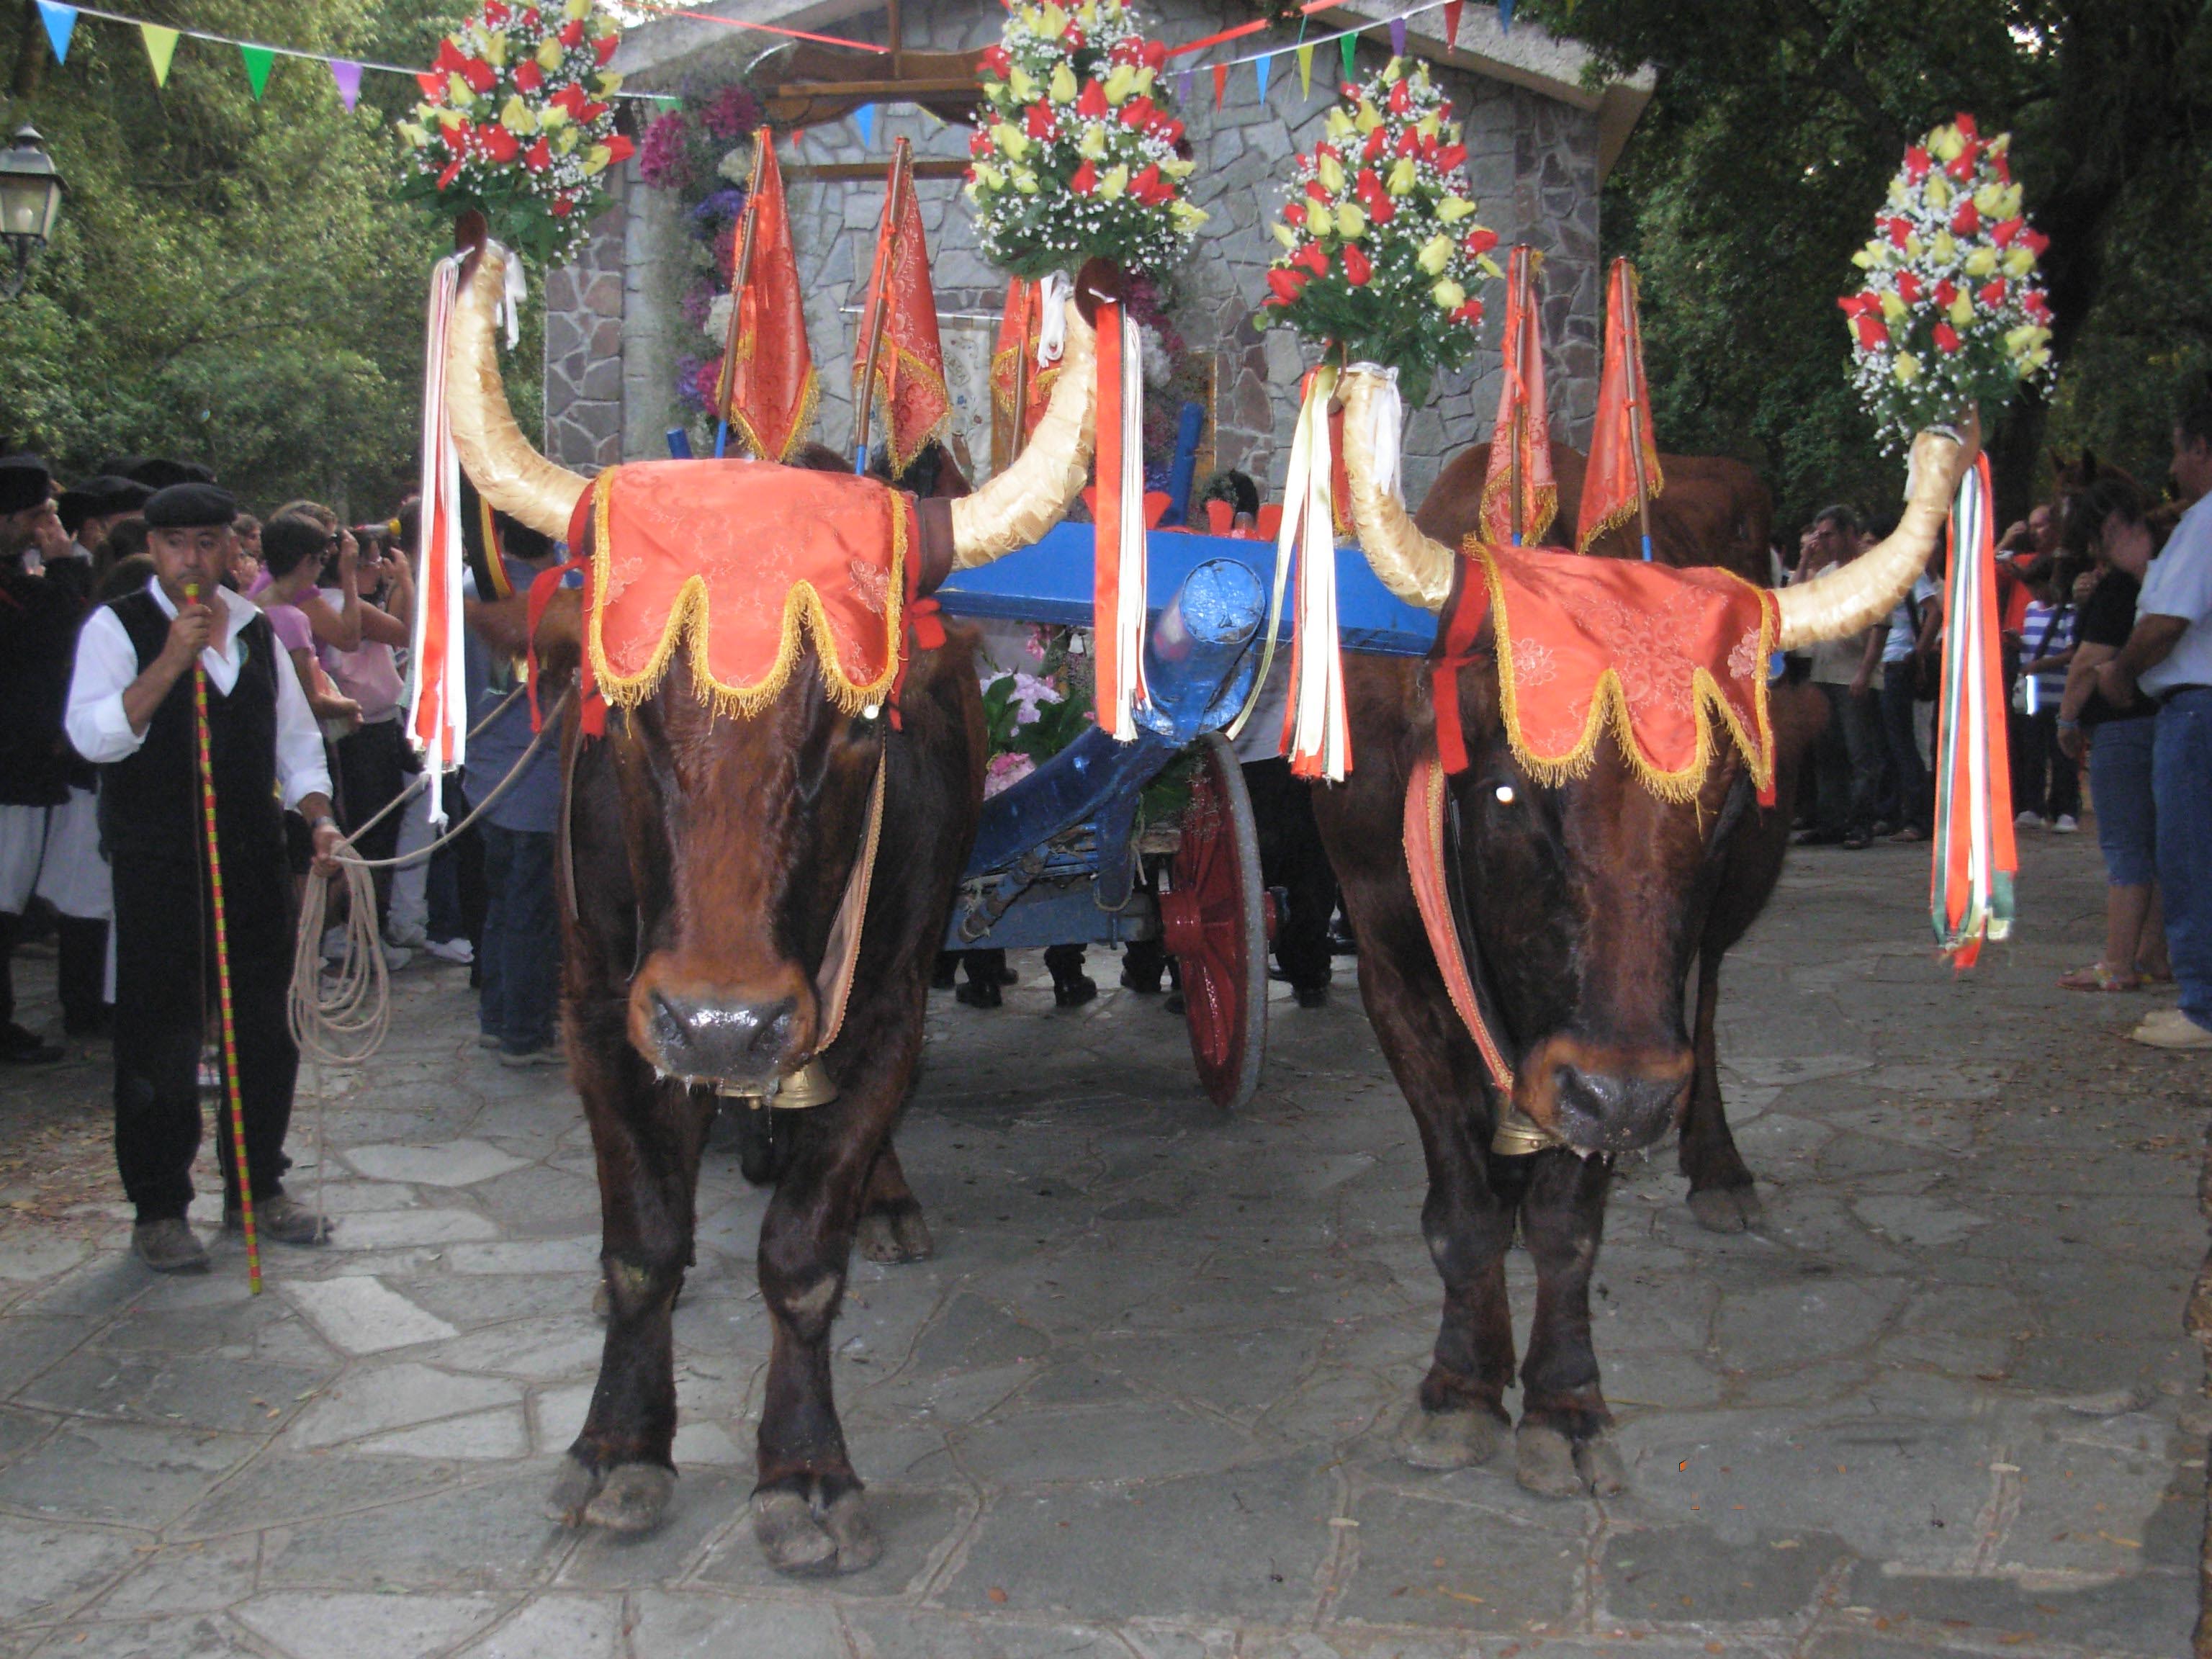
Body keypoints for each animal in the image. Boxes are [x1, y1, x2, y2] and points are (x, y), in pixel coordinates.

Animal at [442, 243, 1100, 1572]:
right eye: (629, 711)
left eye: (855, 722)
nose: (724, 1023)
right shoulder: (598, 1012)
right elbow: (640, 1244)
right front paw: (618, 1446)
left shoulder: (887, 1006)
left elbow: (803, 1259)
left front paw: (801, 1470)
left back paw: (874, 1195)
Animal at [1316, 370, 1970, 1495]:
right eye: (1507, 789)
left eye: (1717, 804)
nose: (1625, 1100)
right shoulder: (1393, 965)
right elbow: (1465, 1207)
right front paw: (1462, 1384)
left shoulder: (1617, 1049)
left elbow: (1567, 1224)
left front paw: (1563, 1403)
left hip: (1718, 940)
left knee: (1704, 1007)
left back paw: (1719, 1170)